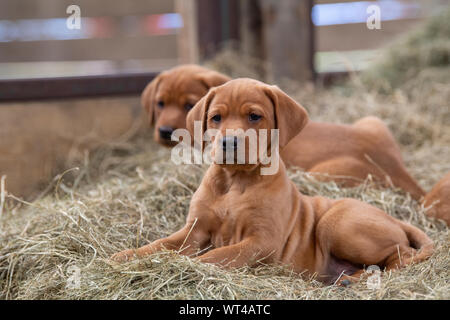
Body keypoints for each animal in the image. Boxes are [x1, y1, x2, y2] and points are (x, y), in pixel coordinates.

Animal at [110, 79, 434, 284]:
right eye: (216, 118)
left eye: (254, 116)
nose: (229, 142)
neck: (235, 181)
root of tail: (394, 218)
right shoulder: (195, 229)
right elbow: (161, 244)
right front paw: (128, 256)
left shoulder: (261, 241)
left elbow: (219, 255)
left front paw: (190, 266)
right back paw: (350, 278)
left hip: (337, 224)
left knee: (402, 253)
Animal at [143, 65, 426, 201]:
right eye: (160, 103)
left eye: (189, 105)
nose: (166, 132)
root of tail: (399, 170)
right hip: (373, 121)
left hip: (324, 172)